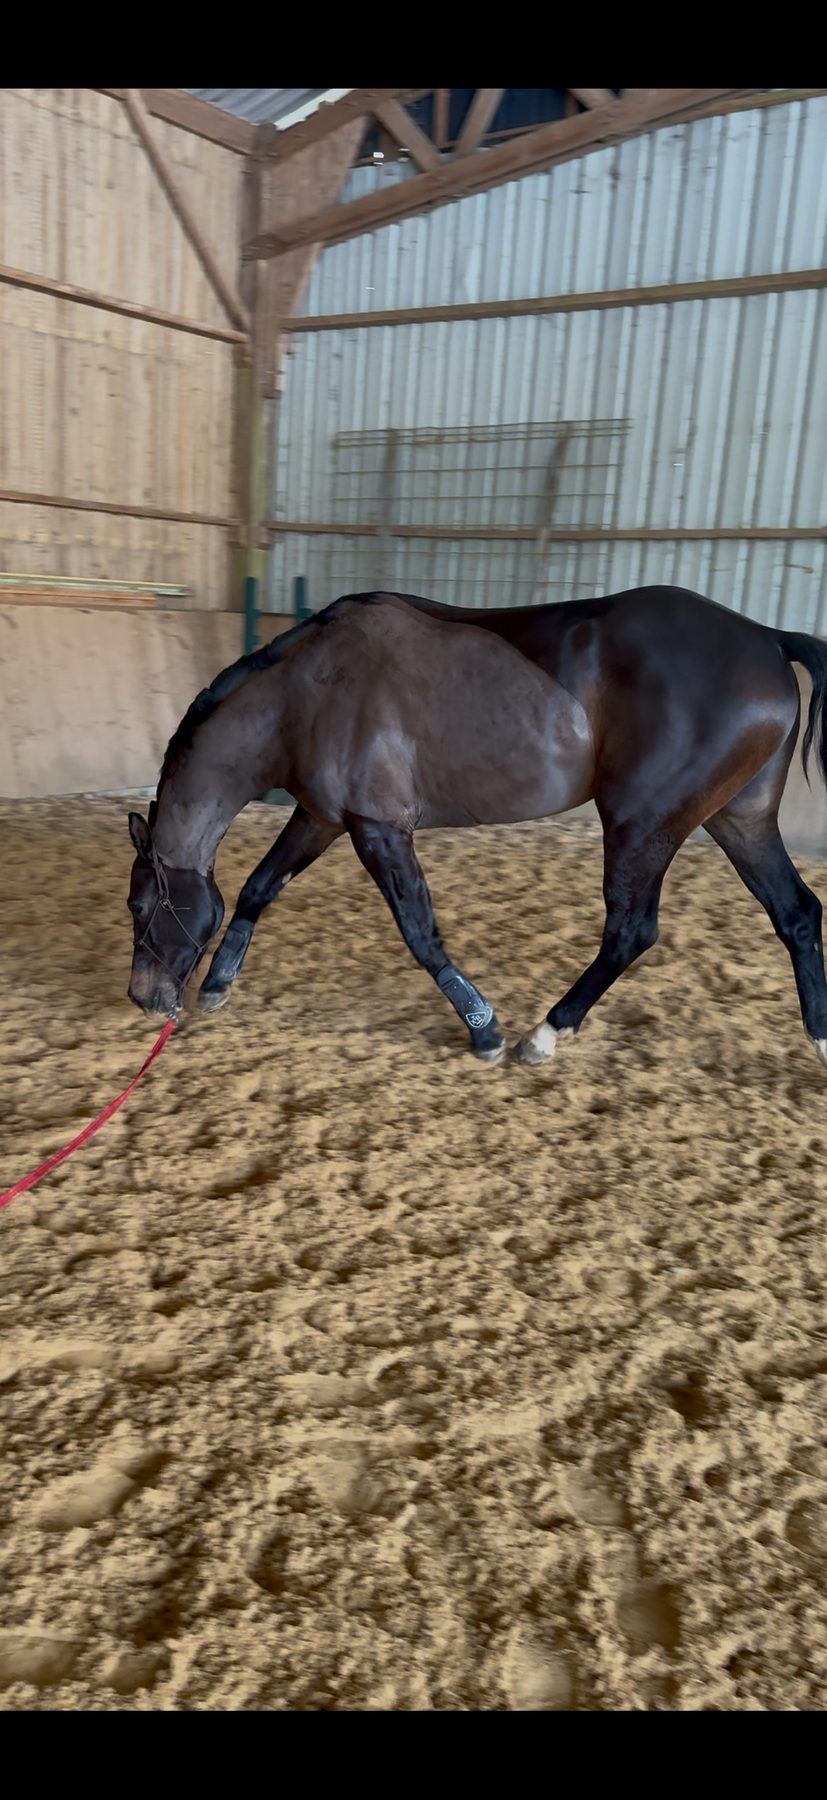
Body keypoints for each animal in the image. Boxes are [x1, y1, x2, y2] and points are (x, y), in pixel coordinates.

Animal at [126, 585, 827, 1070]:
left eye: (138, 907)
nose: (143, 997)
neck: (305, 692)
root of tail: (767, 639)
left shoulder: (378, 828)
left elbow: (419, 931)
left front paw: (484, 1030)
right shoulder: (323, 817)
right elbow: (257, 887)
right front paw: (219, 983)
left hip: (642, 824)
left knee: (632, 931)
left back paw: (544, 1035)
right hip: (740, 821)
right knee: (796, 913)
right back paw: (820, 1042)